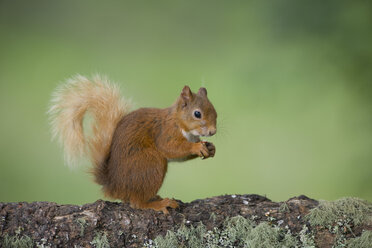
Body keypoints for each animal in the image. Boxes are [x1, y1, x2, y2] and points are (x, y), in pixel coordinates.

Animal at [49, 74, 218, 214]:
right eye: (197, 114)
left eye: (215, 112)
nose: (213, 131)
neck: (180, 123)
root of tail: (114, 186)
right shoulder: (165, 133)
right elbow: (171, 148)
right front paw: (197, 147)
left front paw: (211, 148)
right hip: (150, 164)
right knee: (137, 202)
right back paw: (157, 204)